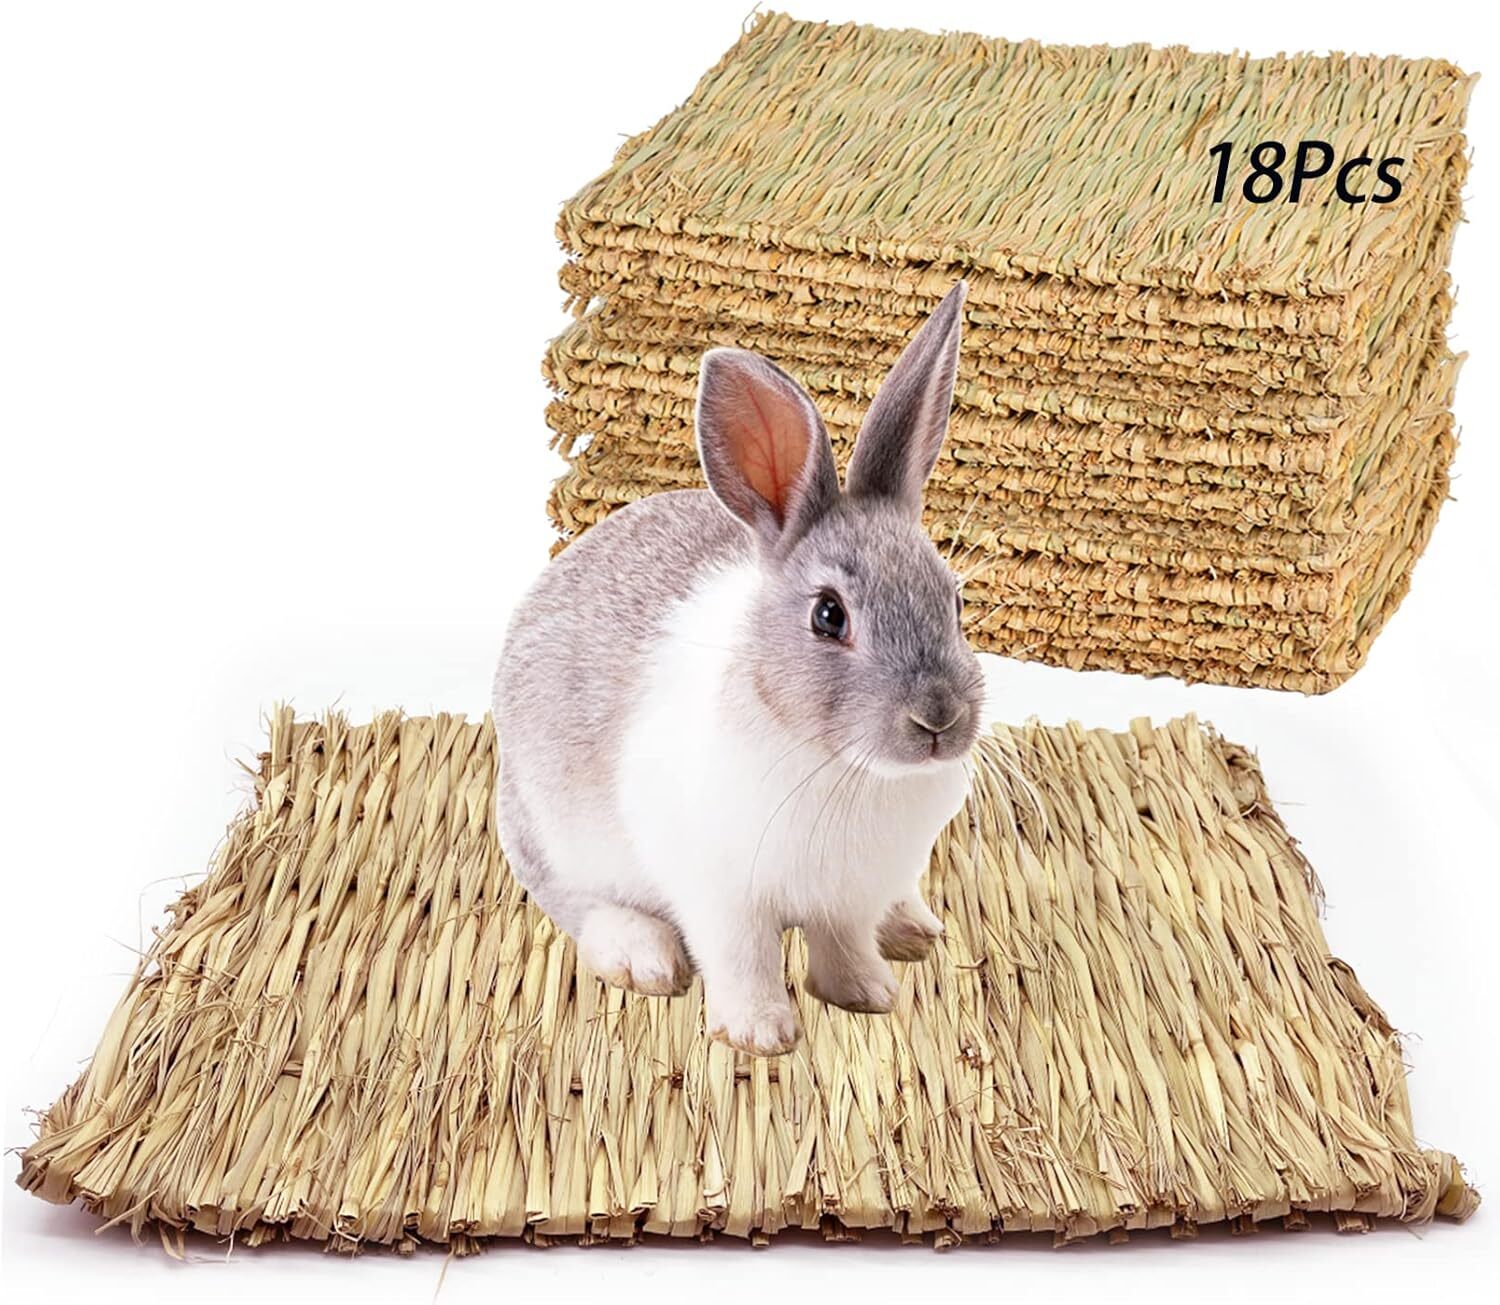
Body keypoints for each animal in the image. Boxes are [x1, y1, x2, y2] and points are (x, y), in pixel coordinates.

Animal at [494, 281, 984, 1055]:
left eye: (957, 601)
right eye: (828, 615)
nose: (939, 718)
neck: (843, 768)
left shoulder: (847, 896)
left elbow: (843, 944)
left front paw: (867, 994)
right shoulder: (720, 892)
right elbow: (742, 956)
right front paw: (760, 1034)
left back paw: (912, 927)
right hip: (552, 836)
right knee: (579, 904)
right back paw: (642, 957)